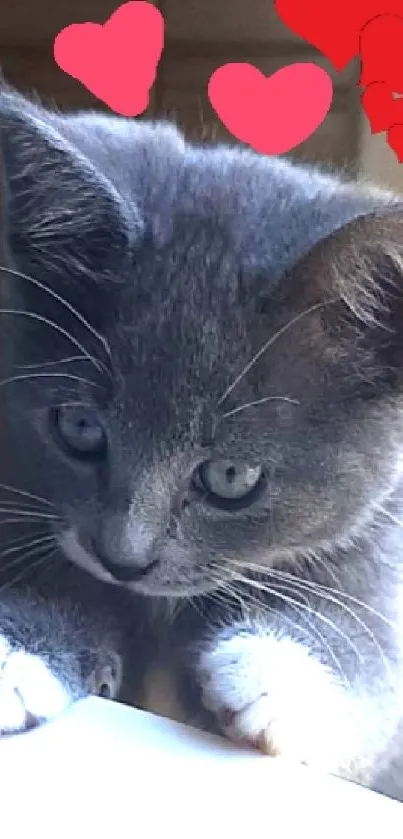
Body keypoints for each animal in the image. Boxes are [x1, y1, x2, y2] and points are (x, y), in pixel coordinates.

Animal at [0, 85, 403, 800]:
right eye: (80, 429)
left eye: (232, 478)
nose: (123, 558)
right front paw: (20, 643)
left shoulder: (381, 539)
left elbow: (373, 651)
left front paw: (277, 681)